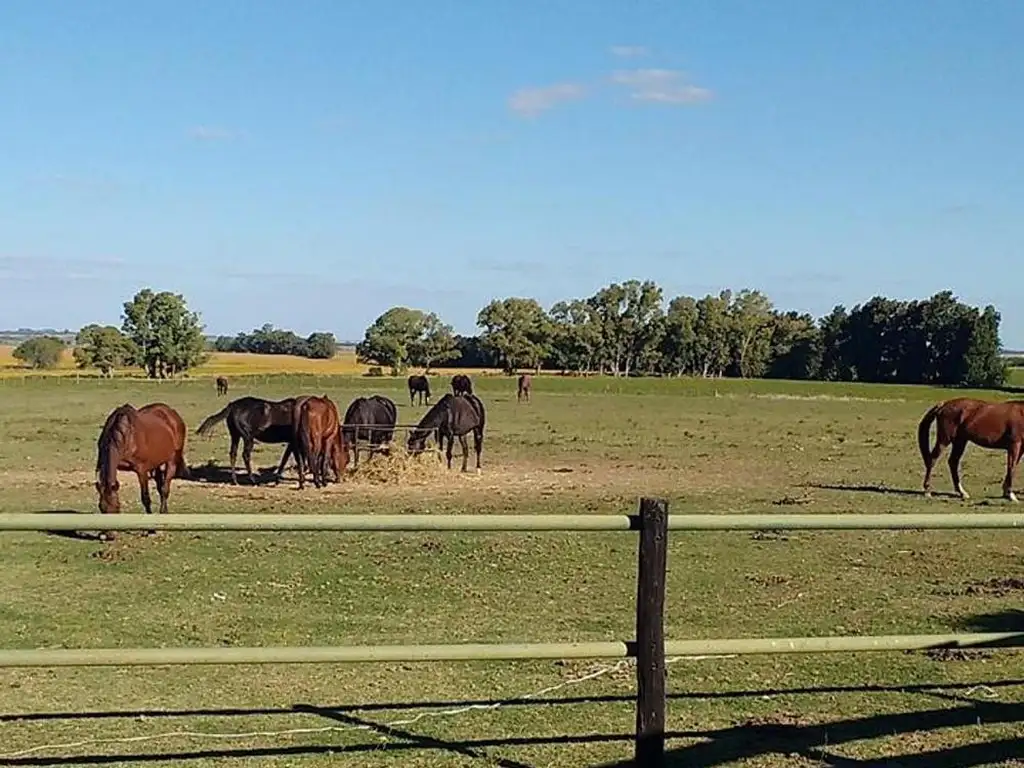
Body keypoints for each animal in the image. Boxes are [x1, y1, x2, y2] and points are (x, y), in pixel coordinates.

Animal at [95, 403, 189, 540]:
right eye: (101, 507)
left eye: (117, 506)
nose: (110, 535)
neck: (127, 436)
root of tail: (171, 413)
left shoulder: (142, 470)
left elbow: (145, 498)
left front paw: (151, 530)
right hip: (156, 463)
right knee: (160, 487)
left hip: (171, 460)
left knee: (165, 489)